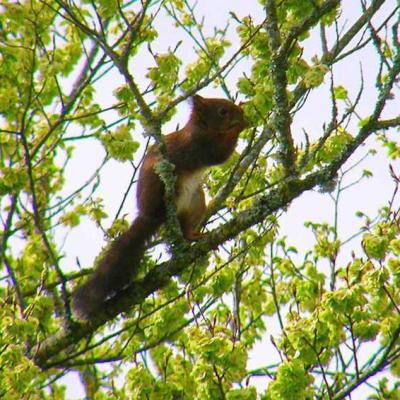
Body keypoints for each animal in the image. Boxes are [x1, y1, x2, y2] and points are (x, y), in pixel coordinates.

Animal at [72, 94, 247, 318]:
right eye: (222, 111)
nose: (239, 113)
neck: (203, 128)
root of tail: (148, 214)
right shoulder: (199, 146)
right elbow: (220, 154)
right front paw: (241, 125)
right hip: (156, 184)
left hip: (197, 202)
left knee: (185, 227)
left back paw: (194, 235)